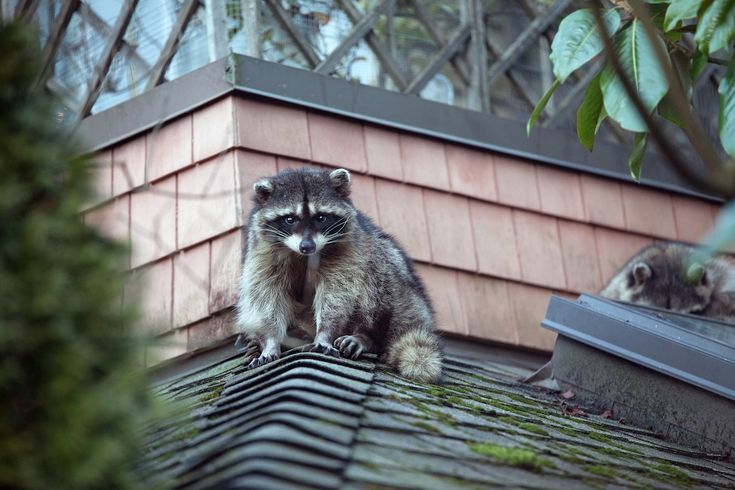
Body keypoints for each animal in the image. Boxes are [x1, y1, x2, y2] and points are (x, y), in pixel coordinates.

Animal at [236, 167, 442, 383]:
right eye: (289, 219)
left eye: (321, 217)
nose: (307, 246)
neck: (302, 255)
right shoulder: (262, 254)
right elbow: (266, 296)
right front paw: (270, 341)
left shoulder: (347, 251)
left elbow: (338, 294)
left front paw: (326, 333)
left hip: (403, 300)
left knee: (377, 266)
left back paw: (365, 336)